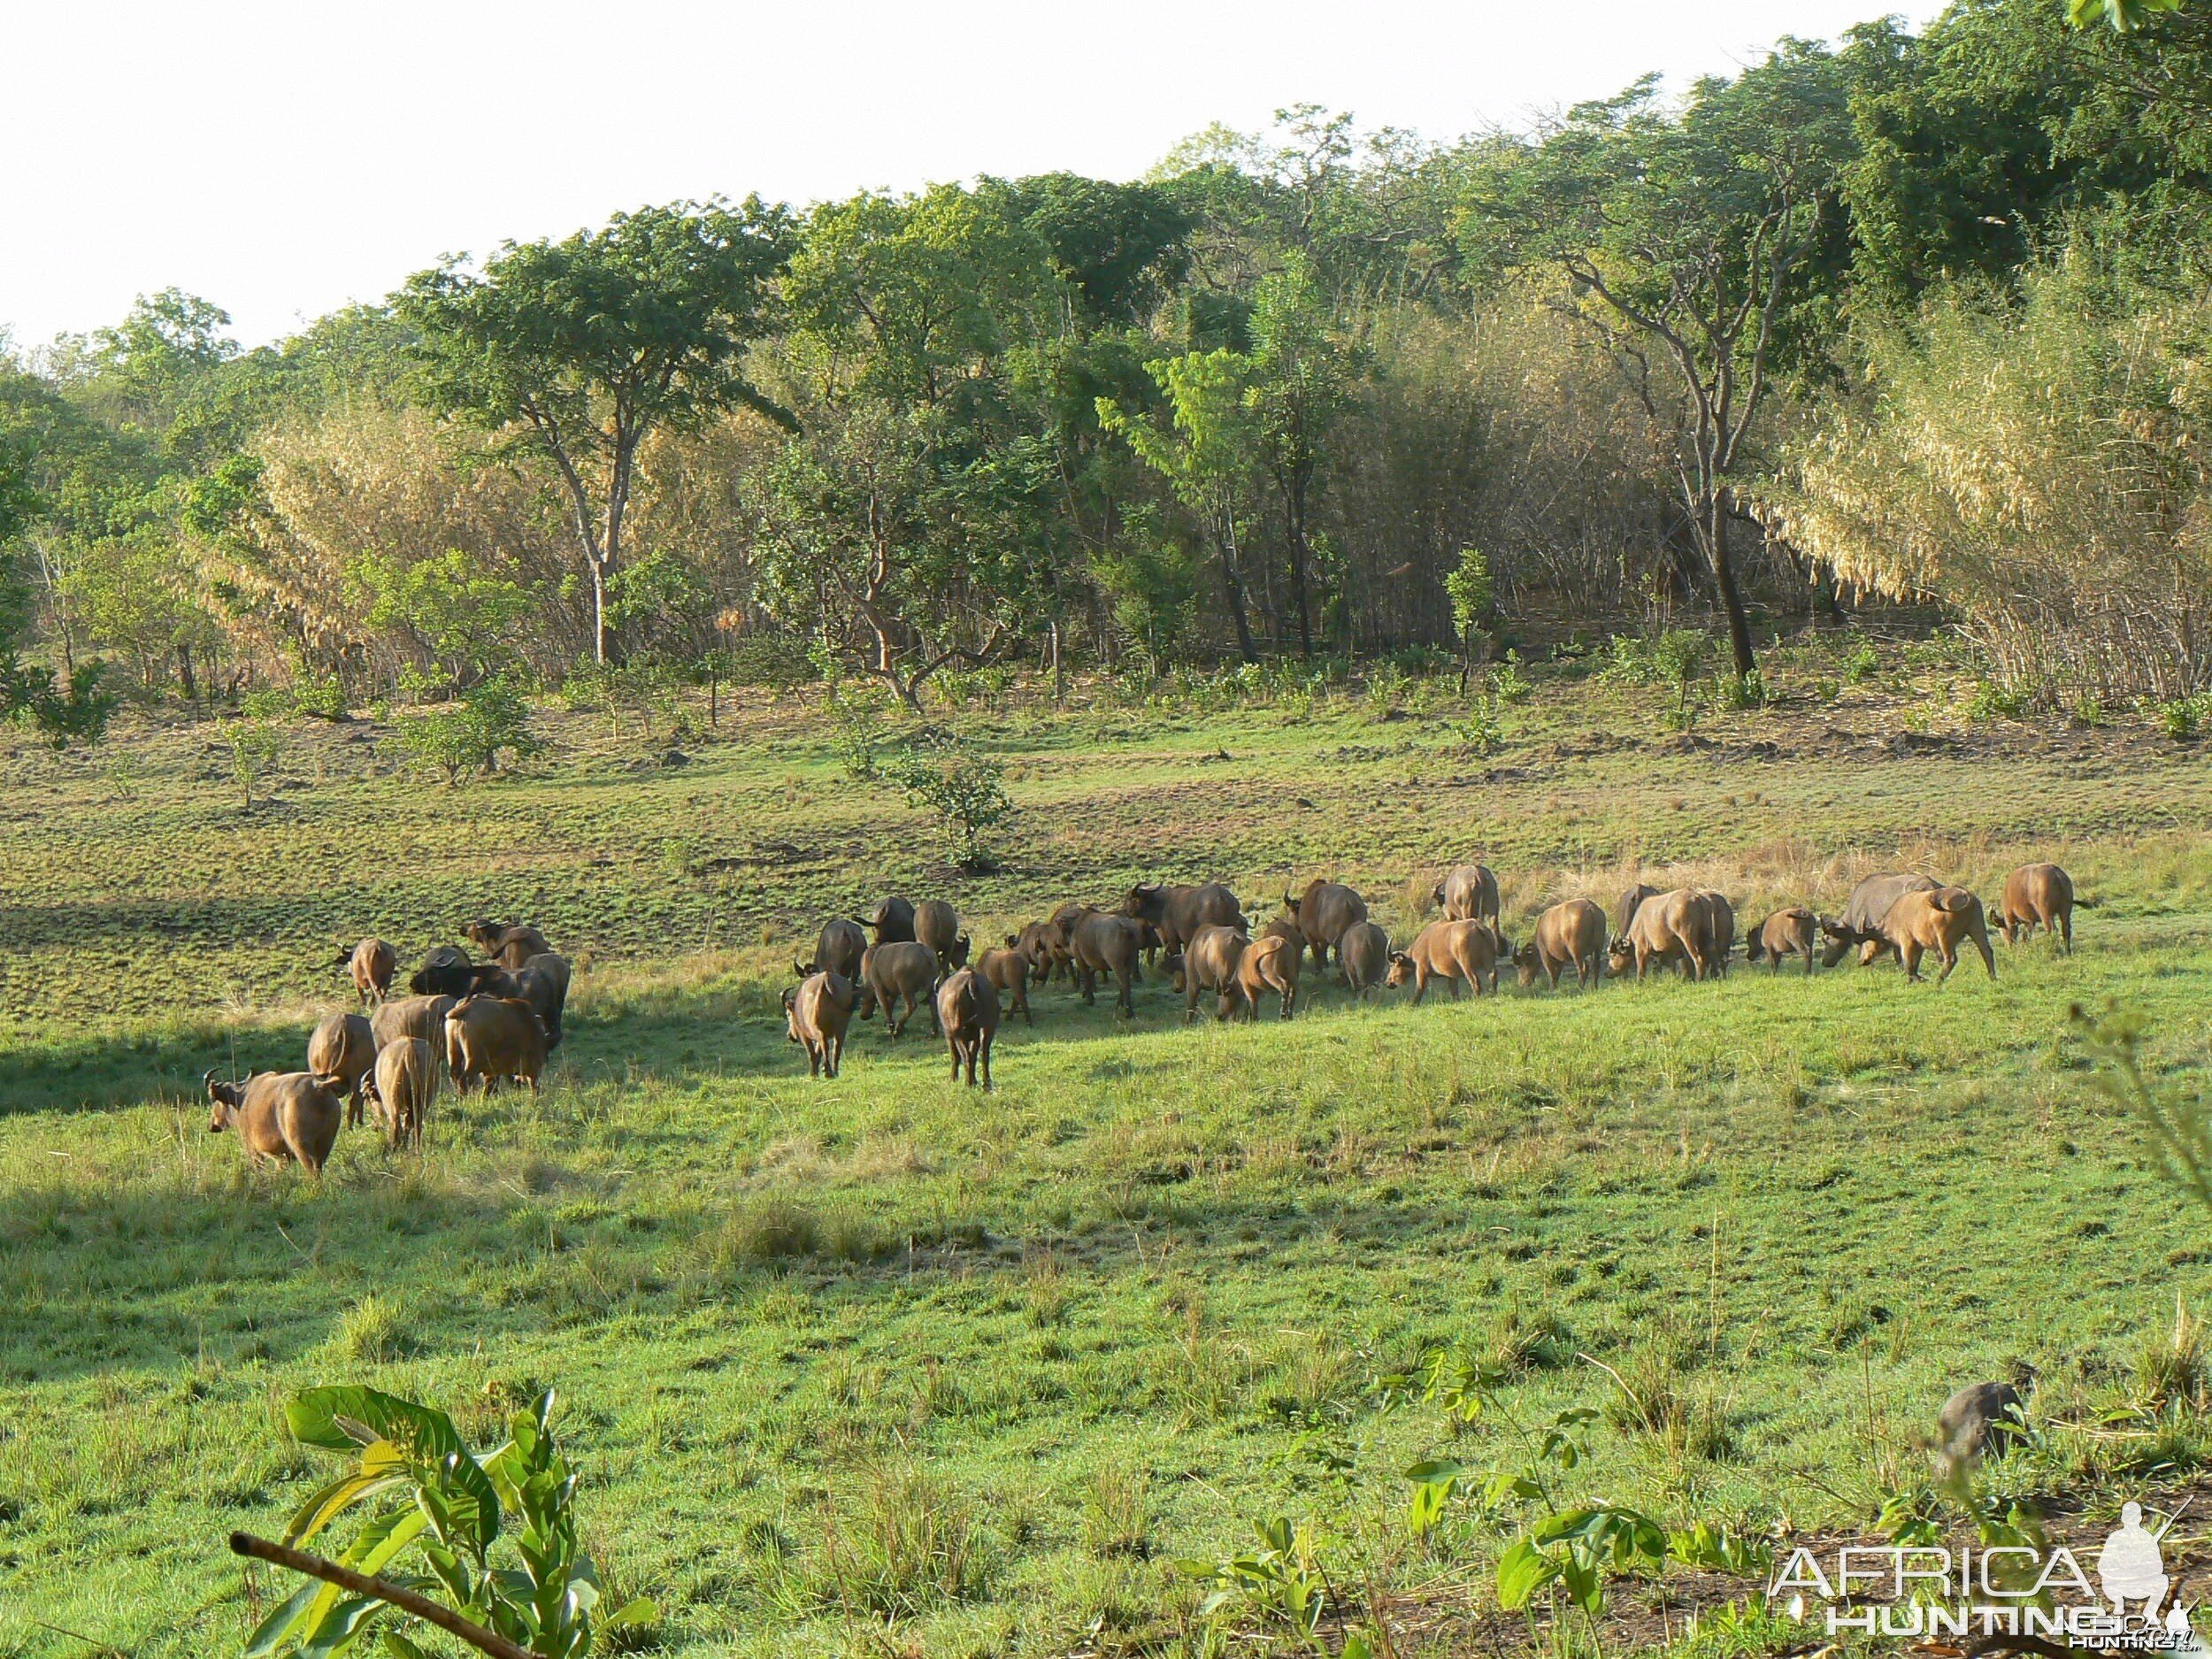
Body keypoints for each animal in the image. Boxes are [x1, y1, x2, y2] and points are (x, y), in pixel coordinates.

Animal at [208, 1071, 341, 1177]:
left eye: (216, 1101)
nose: (212, 1126)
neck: (241, 1101)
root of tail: (317, 1085)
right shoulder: (283, 1157)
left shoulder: (253, 1150)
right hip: (325, 1144)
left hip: (301, 1147)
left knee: (312, 1172)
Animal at [783, 969, 858, 1084]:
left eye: (788, 1014)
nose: (789, 1035)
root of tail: (826, 977)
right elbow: (818, 1053)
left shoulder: (804, 1036)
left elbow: (812, 1054)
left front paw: (813, 1074)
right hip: (841, 1028)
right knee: (837, 1047)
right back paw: (834, 1071)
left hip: (816, 1029)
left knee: (825, 1044)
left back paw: (827, 1072)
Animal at [1380, 916, 1504, 1009]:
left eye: (1392, 965)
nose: (1387, 982)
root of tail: (1478, 927)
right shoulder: (1452, 976)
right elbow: (1453, 990)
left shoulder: (1421, 970)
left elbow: (1420, 988)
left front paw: (1413, 1005)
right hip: (1489, 961)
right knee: (1493, 975)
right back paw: (1494, 994)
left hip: (1467, 965)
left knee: (1474, 980)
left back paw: (1476, 998)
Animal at [1858, 885, 2000, 987]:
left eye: (1866, 942)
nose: (1862, 961)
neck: (1893, 918)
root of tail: (1966, 895)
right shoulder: (1919, 946)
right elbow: (1914, 966)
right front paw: (1911, 982)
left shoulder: (1907, 942)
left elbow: (1908, 966)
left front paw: (1922, 980)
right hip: (1977, 929)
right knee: (1987, 952)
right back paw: (1993, 977)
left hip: (1944, 938)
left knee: (1951, 959)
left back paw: (1938, 981)